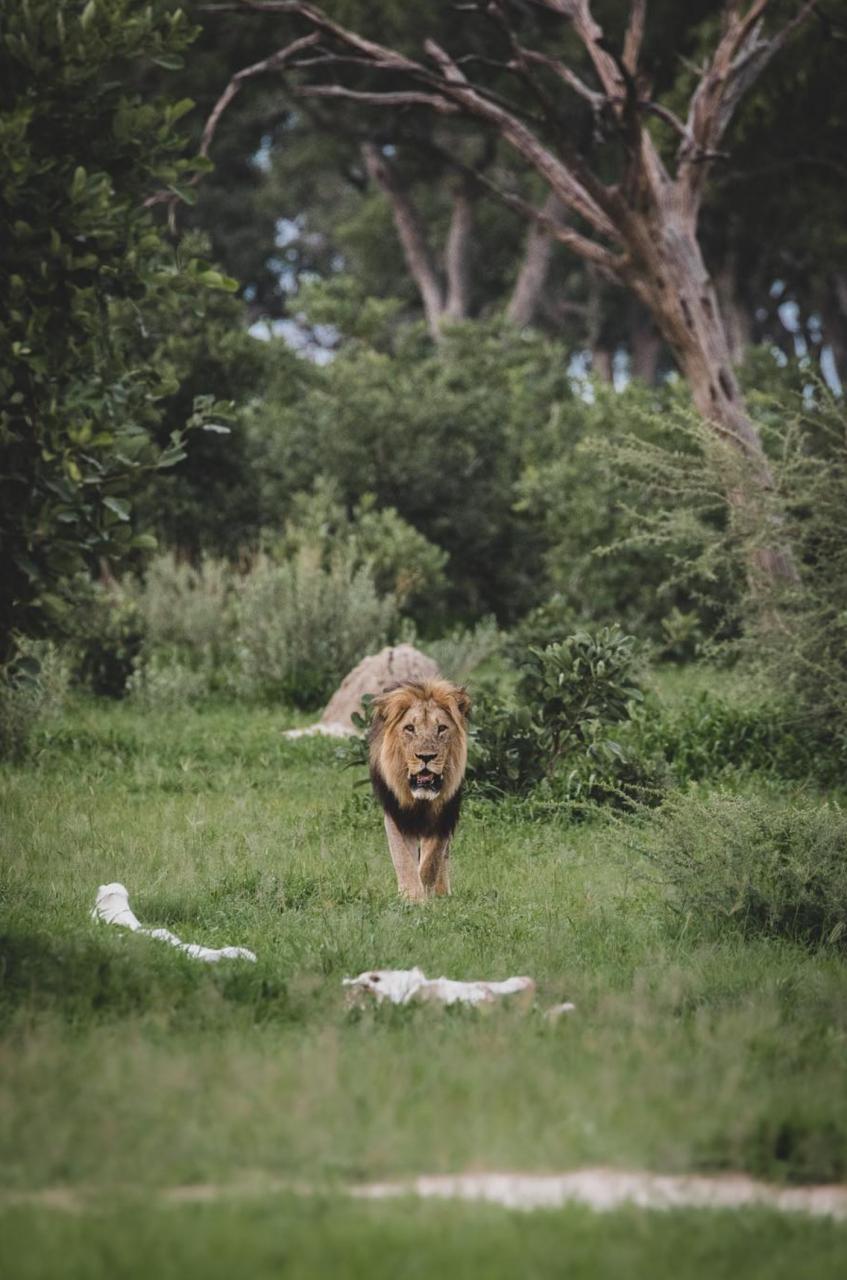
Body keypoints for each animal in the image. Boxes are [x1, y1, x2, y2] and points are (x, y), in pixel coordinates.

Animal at [371, 680, 470, 901]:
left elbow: (431, 862)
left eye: (441, 728)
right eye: (410, 728)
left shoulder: (445, 815)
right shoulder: (396, 813)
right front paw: (412, 898)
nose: (426, 757)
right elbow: (403, 858)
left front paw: (427, 894)